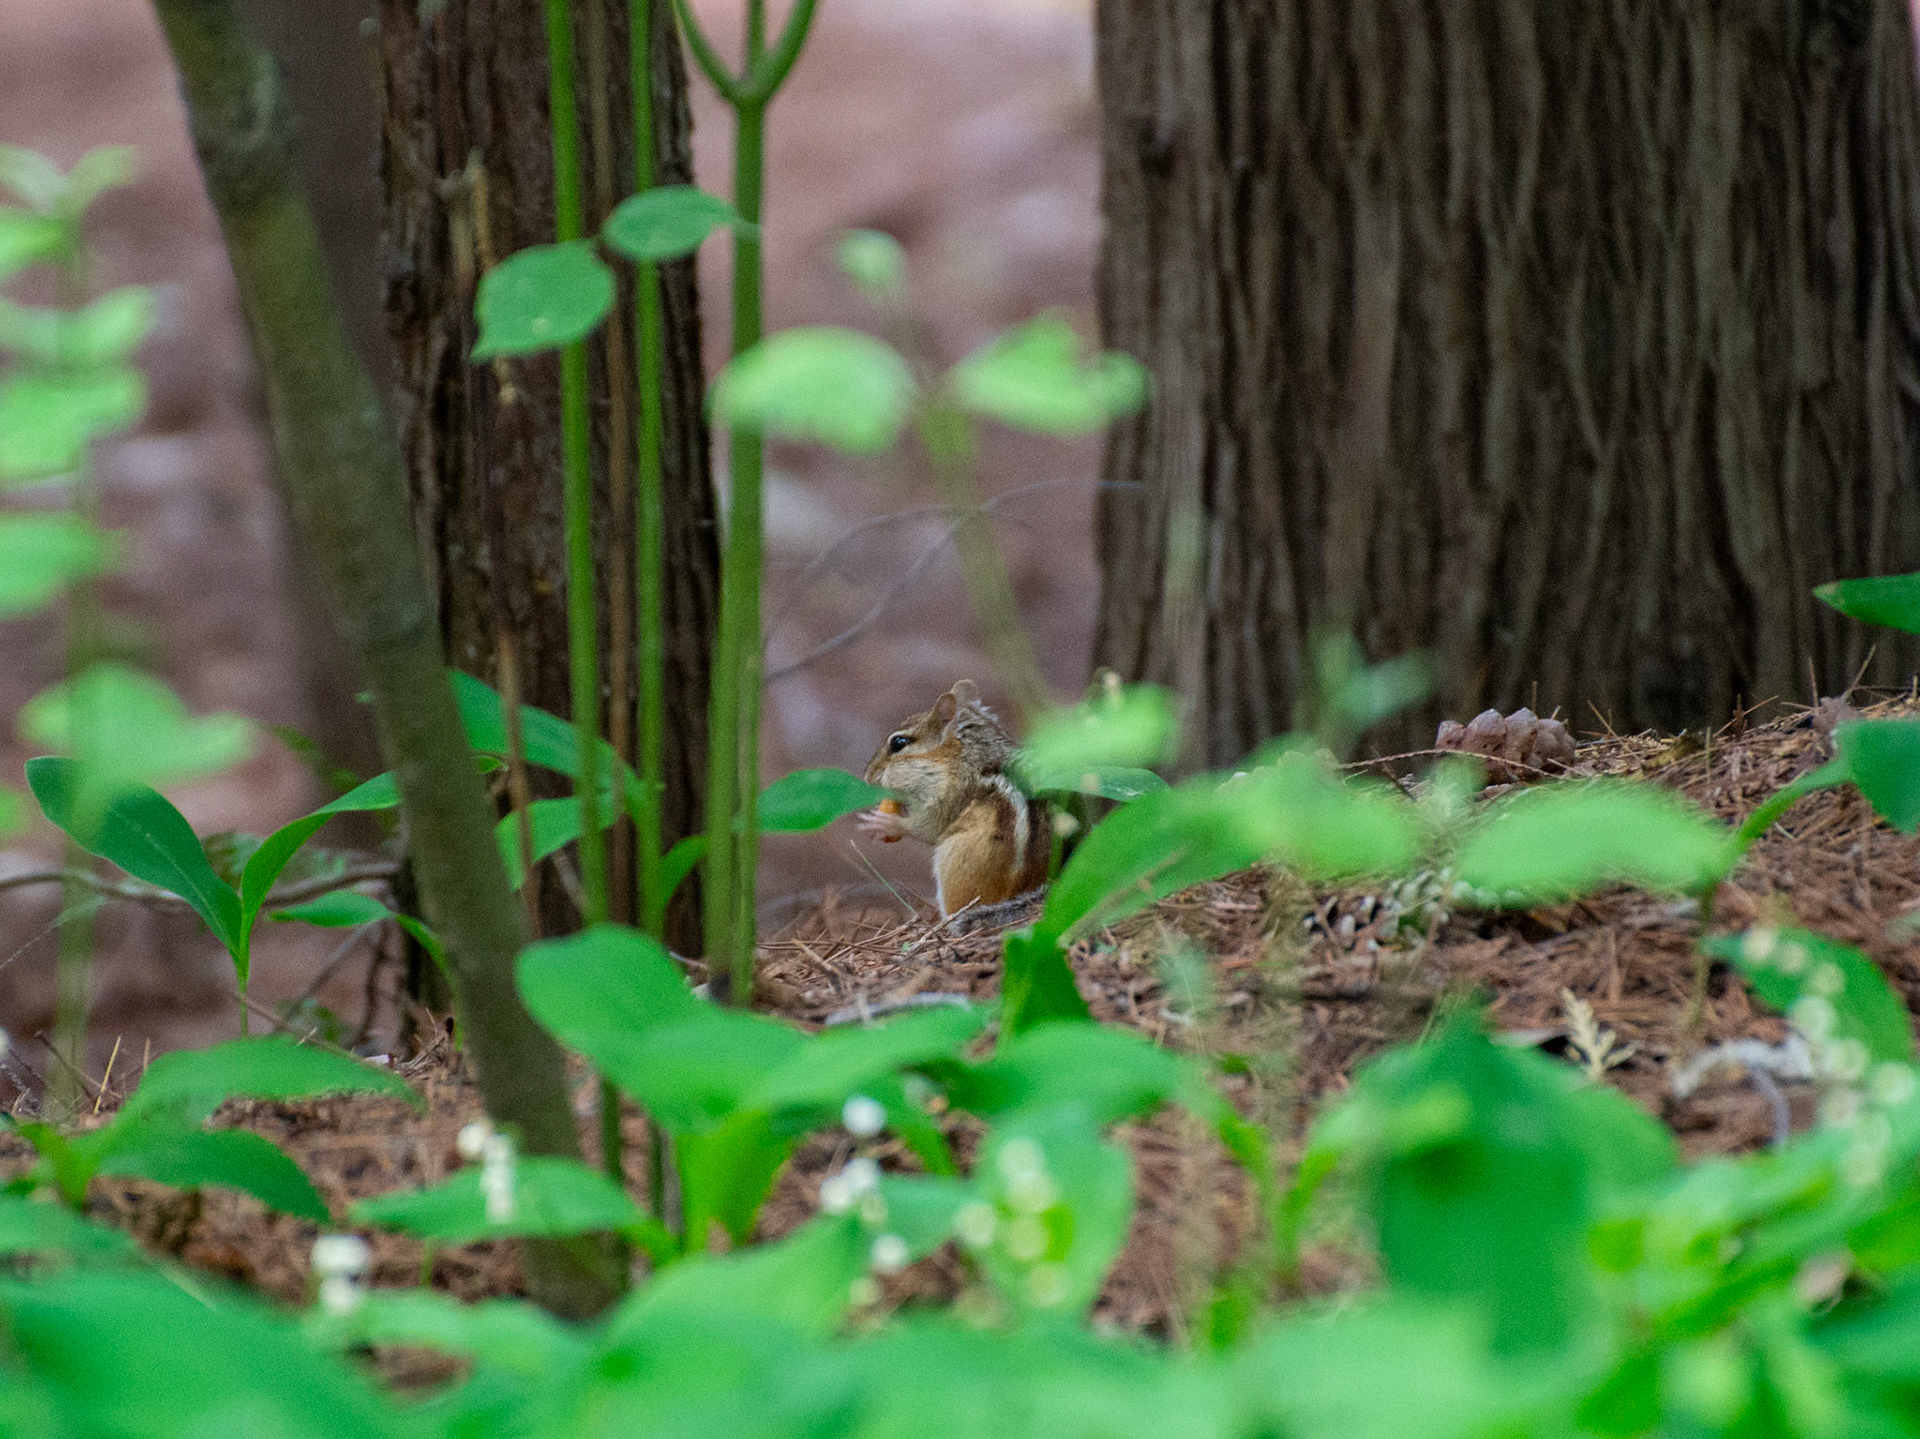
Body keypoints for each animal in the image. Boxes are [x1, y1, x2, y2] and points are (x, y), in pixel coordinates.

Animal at [857, 679, 1050, 930]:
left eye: (898, 743)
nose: (868, 776)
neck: (962, 753)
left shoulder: (948, 795)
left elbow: (928, 828)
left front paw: (885, 823)